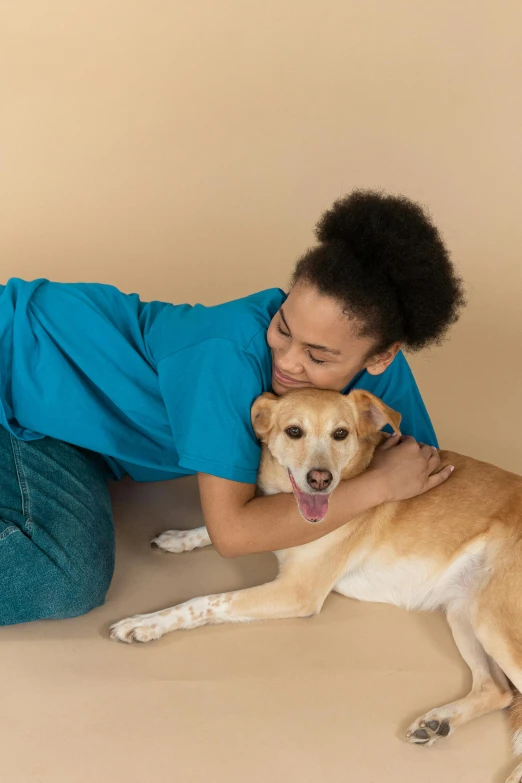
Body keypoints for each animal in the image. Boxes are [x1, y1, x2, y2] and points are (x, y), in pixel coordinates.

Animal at [110, 388, 522, 780]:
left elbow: (205, 601)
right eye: (294, 431)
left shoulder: (297, 592)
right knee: (499, 691)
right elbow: (215, 532)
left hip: (491, 621)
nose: (320, 480)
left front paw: (146, 623)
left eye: (341, 434)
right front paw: (180, 538)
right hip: (465, 612)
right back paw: (439, 722)